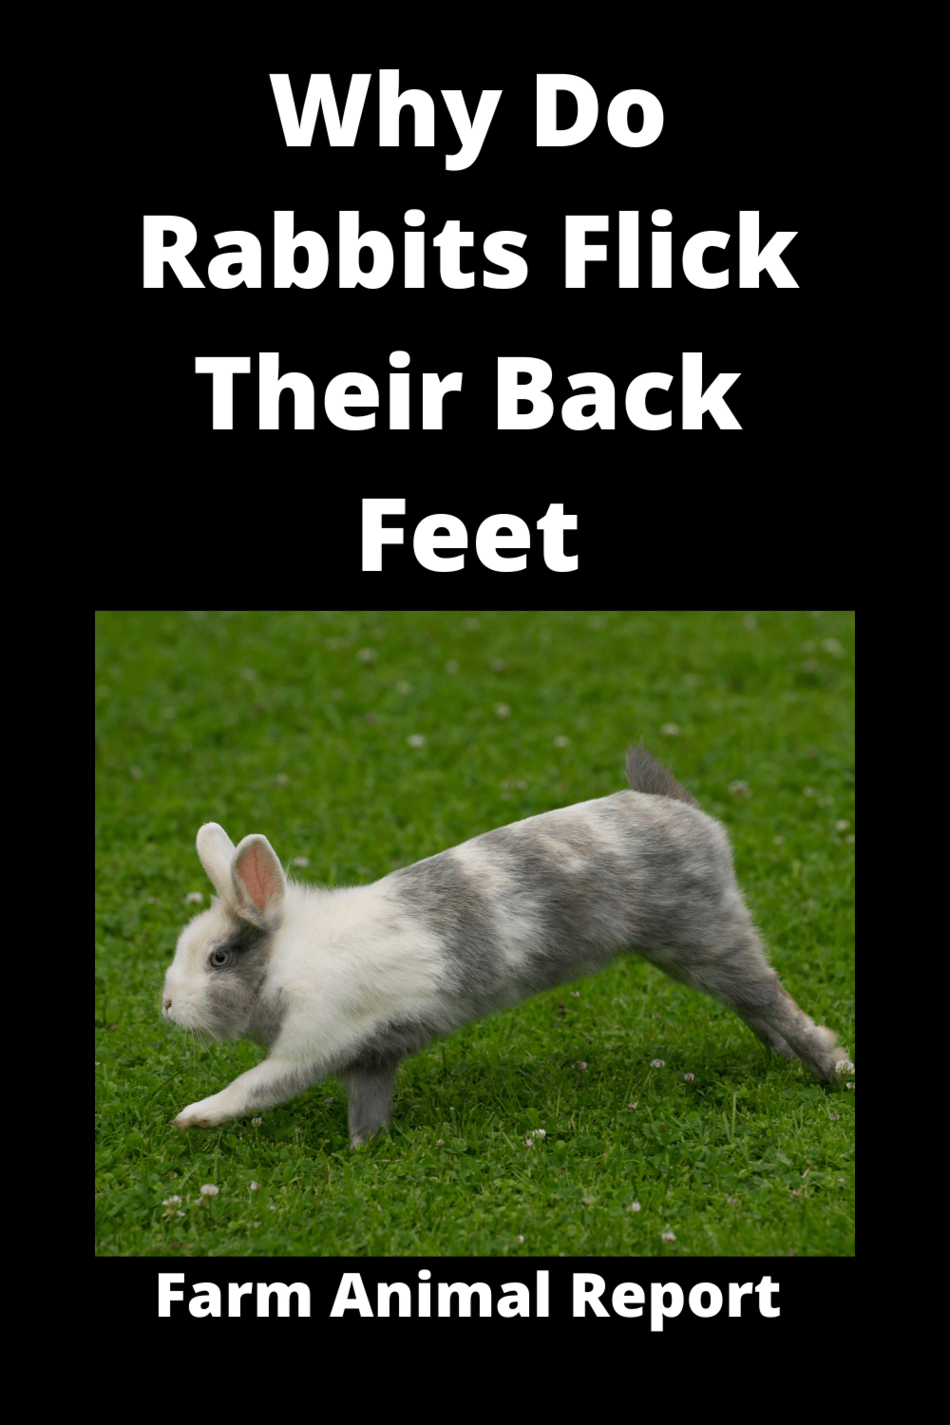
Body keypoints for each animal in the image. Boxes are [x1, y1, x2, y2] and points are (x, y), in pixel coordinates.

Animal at [163, 744, 850, 1146]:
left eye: (219, 958)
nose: (167, 1009)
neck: (286, 962)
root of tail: (684, 813)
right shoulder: (372, 1058)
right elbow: (367, 1113)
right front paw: (364, 1155)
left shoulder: (313, 1043)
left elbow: (255, 1085)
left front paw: (194, 1116)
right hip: (696, 954)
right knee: (757, 1008)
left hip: (708, 939)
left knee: (780, 1005)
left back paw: (834, 1073)